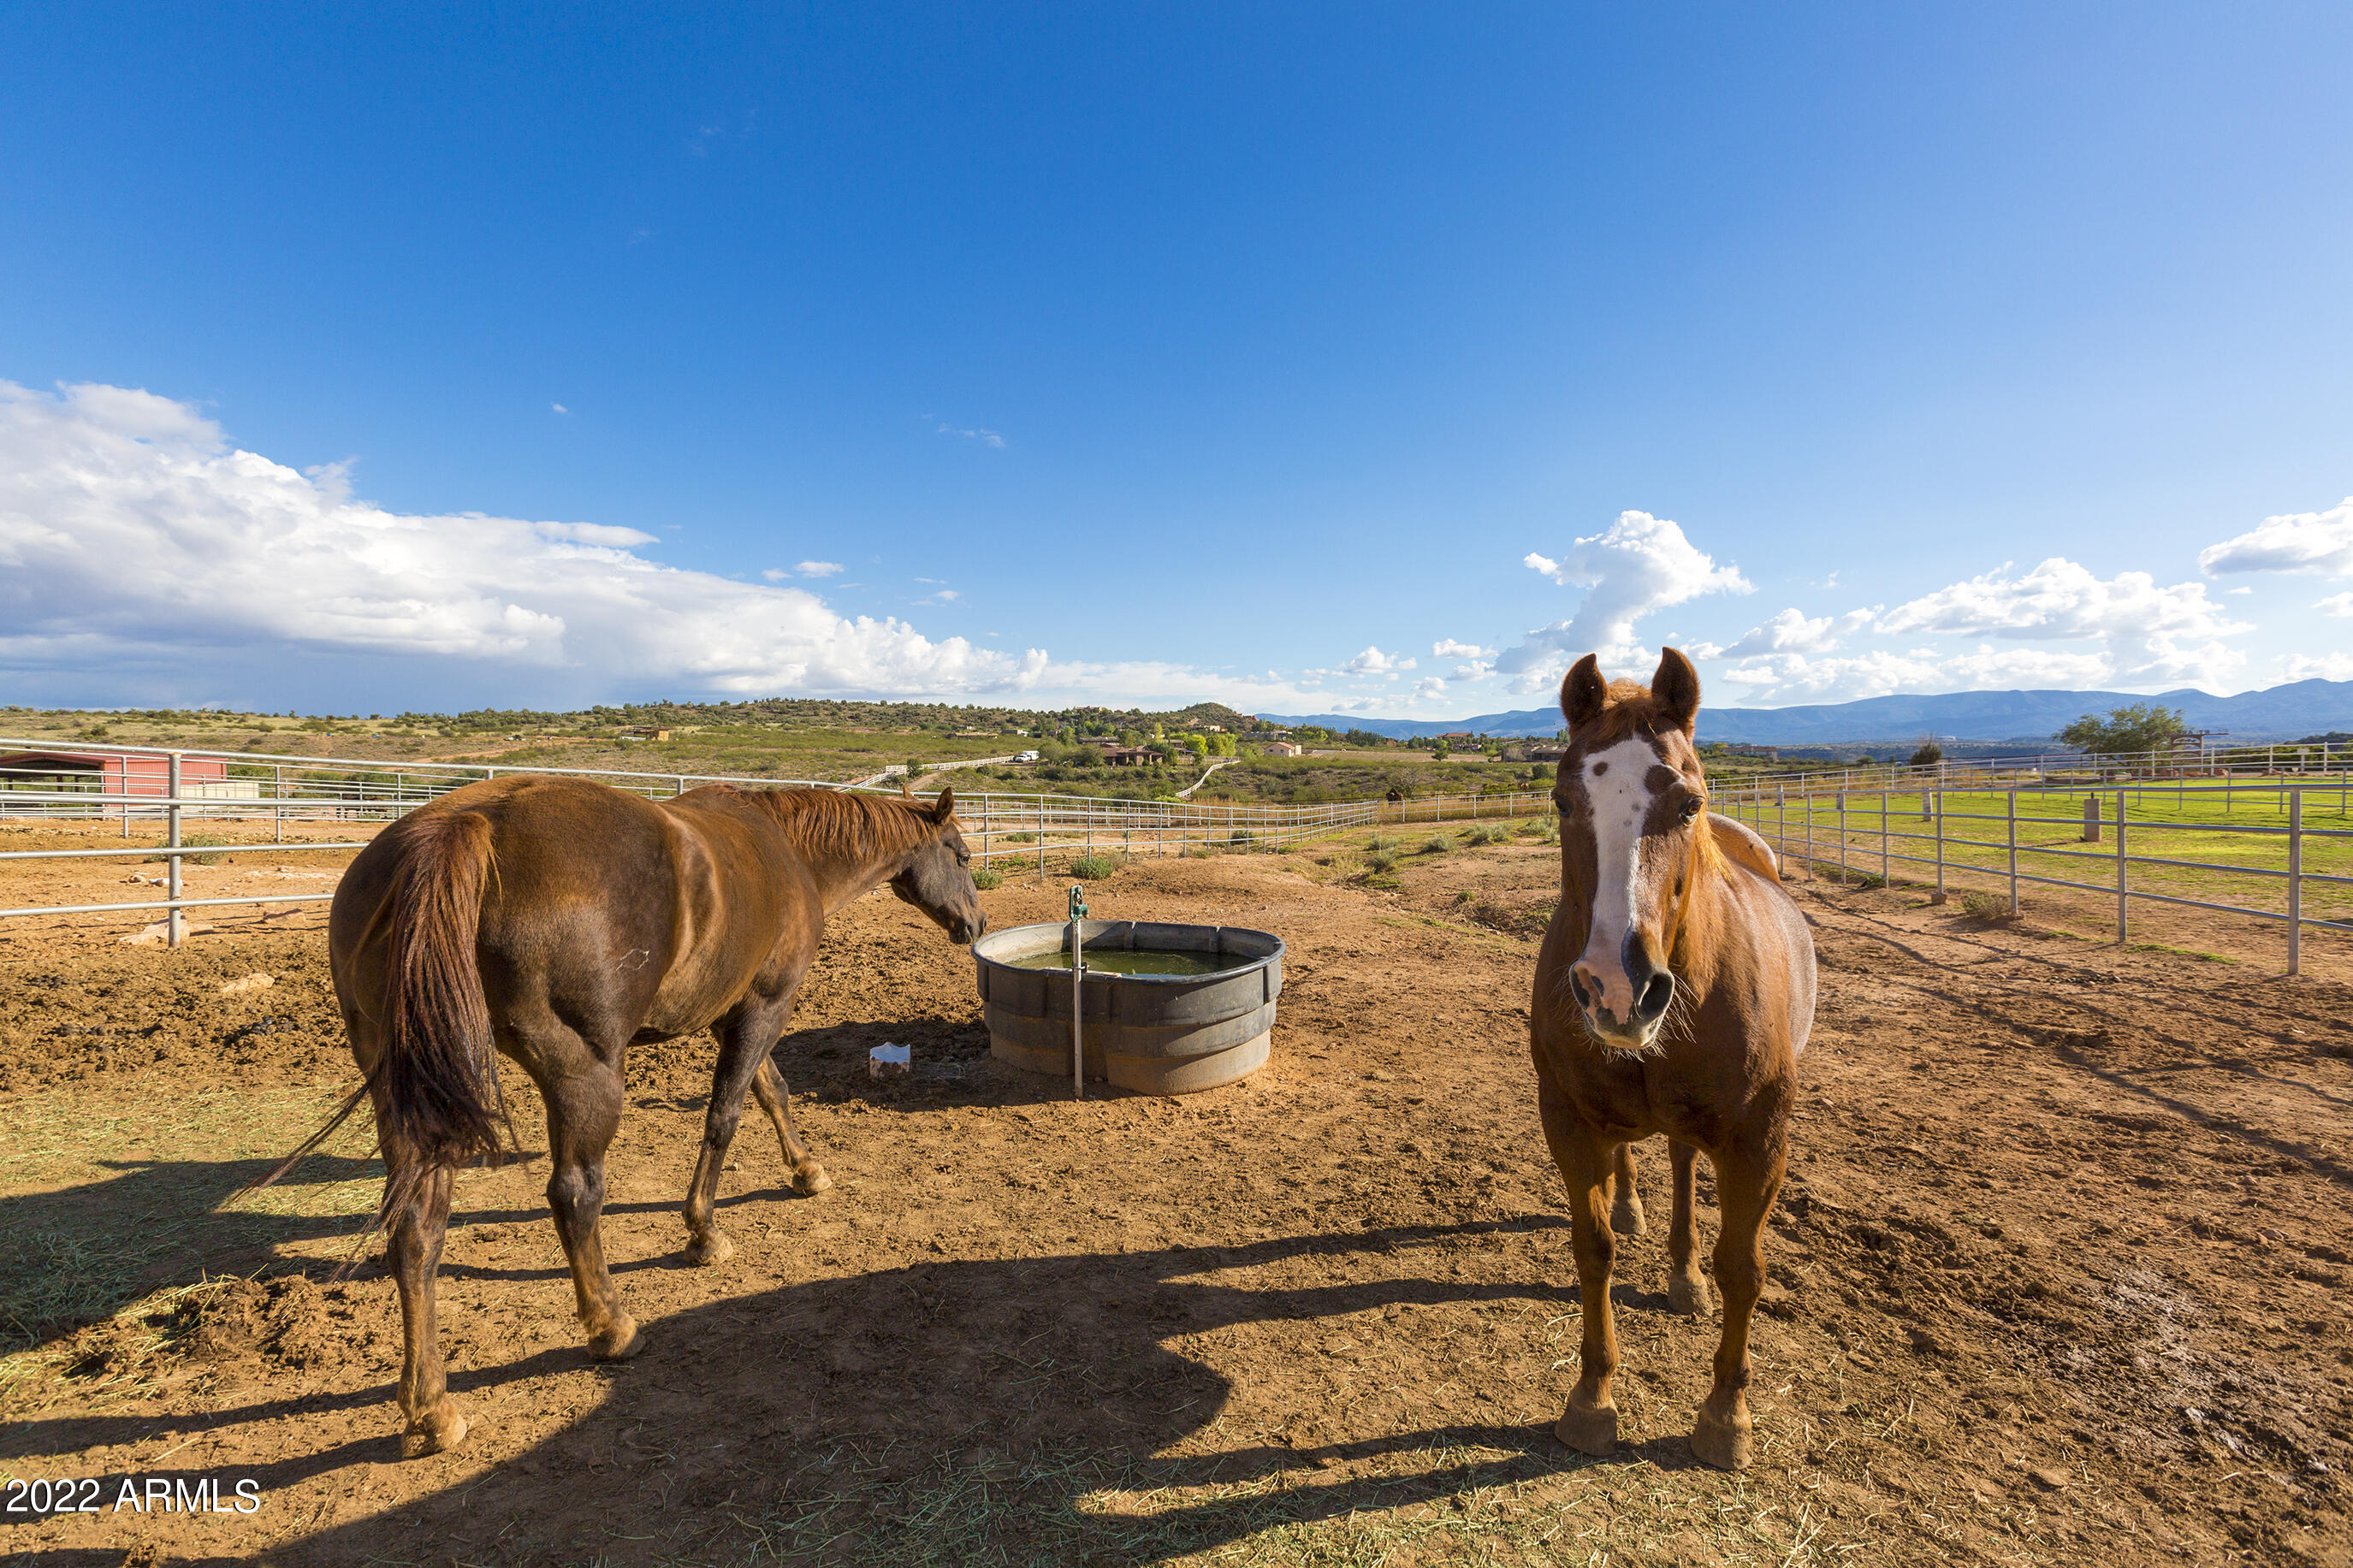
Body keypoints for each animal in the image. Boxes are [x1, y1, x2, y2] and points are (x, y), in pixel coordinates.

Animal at [261, 777, 986, 1457]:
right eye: (961, 853)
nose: (975, 924)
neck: (787, 848)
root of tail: (461, 825)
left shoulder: (732, 1010)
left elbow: (772, 1090)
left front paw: (807, 1171)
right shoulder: (764, 1004)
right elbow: (726, 1114)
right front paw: (703, 1231)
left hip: (408, 1095)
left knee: (416, 1227)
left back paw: (431, 1408)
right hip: (585, 1075)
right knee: (575, 1195)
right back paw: (612, 1326)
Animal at [1529, 648, 1815, 1470]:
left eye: (1687, 803)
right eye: (1563, 801)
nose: (1617, 985)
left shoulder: (1759, 1142)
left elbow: (1743, 1268)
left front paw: (1726, 1419)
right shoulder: (1569, 1120)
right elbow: (1591, 1249)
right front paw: (1592, 1400)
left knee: (1686, 1166)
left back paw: (1684, 1277)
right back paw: (1634, 1211)